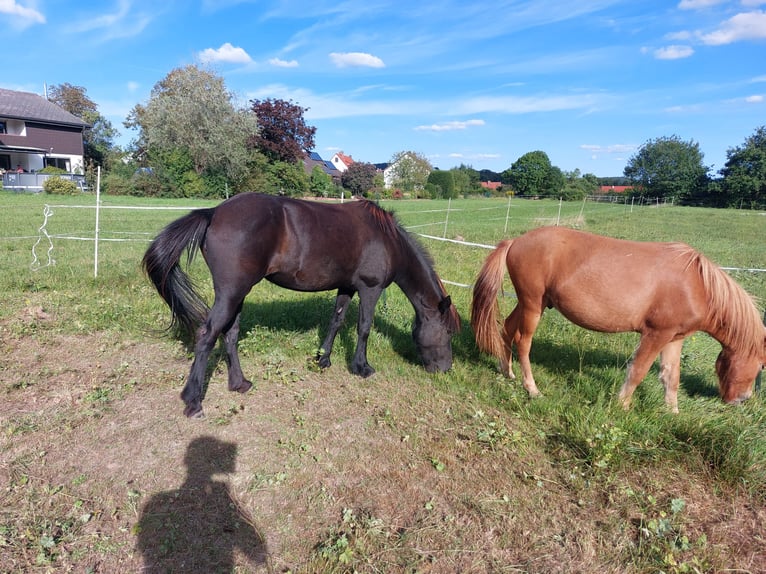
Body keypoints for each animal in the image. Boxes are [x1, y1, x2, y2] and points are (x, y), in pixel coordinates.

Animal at [143, 192, 461, 417]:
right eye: (447, 333)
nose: (446, 369)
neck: (387, 239)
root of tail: (214, 213)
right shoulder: (370, 289)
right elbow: (364, 327)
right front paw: (361, 367)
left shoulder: (347, 287)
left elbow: (336, 321)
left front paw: (323, 359)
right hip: (231, 293)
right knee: (207, 335)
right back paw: (194, 401)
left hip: (237, 294)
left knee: (230, 334)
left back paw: (239, 383)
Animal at [471, 226, 765, 413]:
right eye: (762, 364)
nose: (741, 400)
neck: (697, 284)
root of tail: (515, 242)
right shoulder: (655, 334)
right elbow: (638, 371)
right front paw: (622, 405)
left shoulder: (674, 338)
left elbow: (671, 376)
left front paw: (672, 413)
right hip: (533, 304)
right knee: (523, 342)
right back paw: (531, 388)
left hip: (531, 303)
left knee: (506, 330)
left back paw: (506, 371)